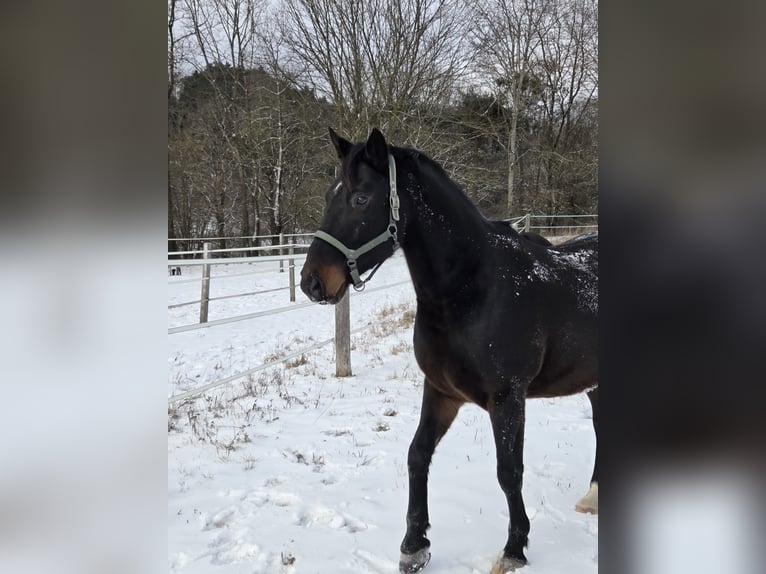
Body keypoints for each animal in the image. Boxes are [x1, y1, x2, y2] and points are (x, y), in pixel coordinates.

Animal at [300, 128, 598, 573]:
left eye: (360, 199)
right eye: (326, 195)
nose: (312, 282)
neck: (474, 290)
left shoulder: (508, 399)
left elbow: (509, 471)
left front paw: (514, 548)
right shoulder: (440, 391)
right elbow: (417, 454)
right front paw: (414, 545)